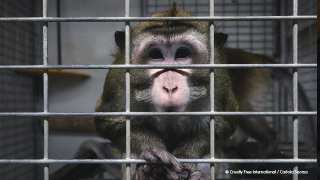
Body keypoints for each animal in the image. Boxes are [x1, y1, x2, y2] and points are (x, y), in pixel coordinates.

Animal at [94, 2, 238, 180]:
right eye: (156, 55)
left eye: (182, 53)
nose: (170, 86)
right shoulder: (117, 80)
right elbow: (107, 122)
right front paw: (152, 151)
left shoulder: (219, 81)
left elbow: (223, 126)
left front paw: (187, 156)